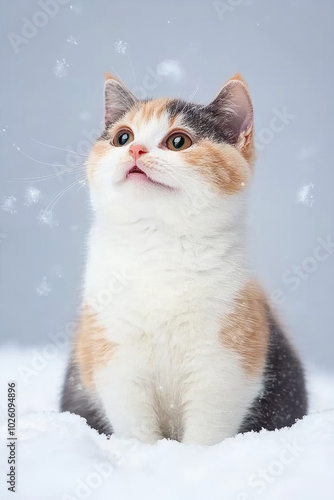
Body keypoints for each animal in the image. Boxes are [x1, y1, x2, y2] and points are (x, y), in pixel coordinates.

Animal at [60, 72, 308, 444]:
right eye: (122, 137)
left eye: (179, 142)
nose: (135, 149)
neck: (158, 246)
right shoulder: (113, 355)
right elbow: (134, 424)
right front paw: (144, 453)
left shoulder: (225, 363)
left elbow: (208, 429)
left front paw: (190, 457)